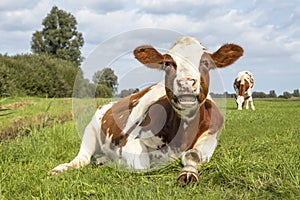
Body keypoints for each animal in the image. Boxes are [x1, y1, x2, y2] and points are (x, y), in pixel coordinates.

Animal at [49, 36, 244, 186]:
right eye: (168, 63)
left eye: (206, 62)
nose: (186, 83)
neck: (182, 135)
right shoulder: (131, 140)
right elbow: (140, 166)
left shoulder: (211, 139)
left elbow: (193, 155)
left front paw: (188, 173)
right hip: (90, 131)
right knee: (81, 158)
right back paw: (62, 168)